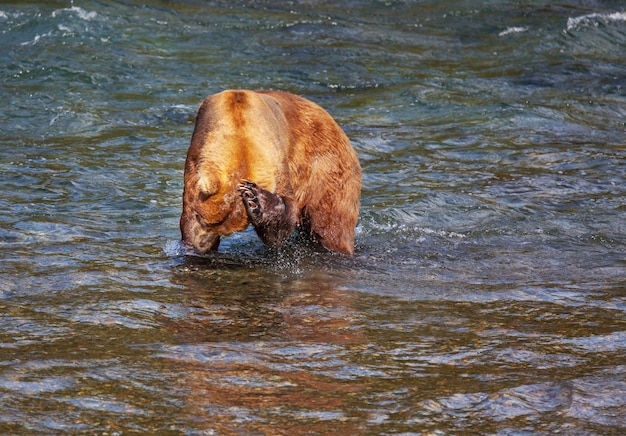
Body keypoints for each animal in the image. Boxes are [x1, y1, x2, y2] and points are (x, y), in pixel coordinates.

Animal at [178, 91, 358, 255]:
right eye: (206, 221)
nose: (203, 243)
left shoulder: (280, 160)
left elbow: (283, 220)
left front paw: (255, 198)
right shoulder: (196, 155)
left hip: (326, 168)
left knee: (329, 224)